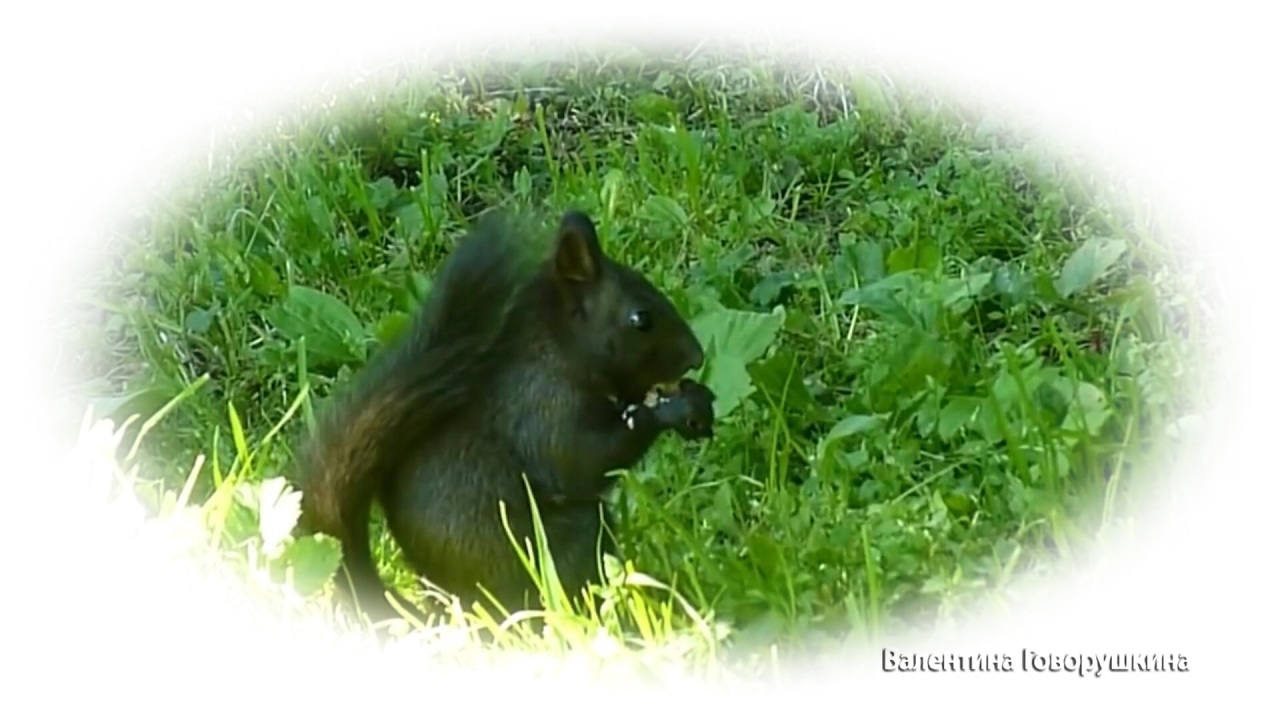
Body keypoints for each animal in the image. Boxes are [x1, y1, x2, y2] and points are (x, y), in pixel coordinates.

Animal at [294, 208, 716, 629]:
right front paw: (670, 410)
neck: (557, 352)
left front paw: (693, 400)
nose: (696, 356)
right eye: (641, 319)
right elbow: (587, 461)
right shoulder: (543, 410)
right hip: (555, 547)